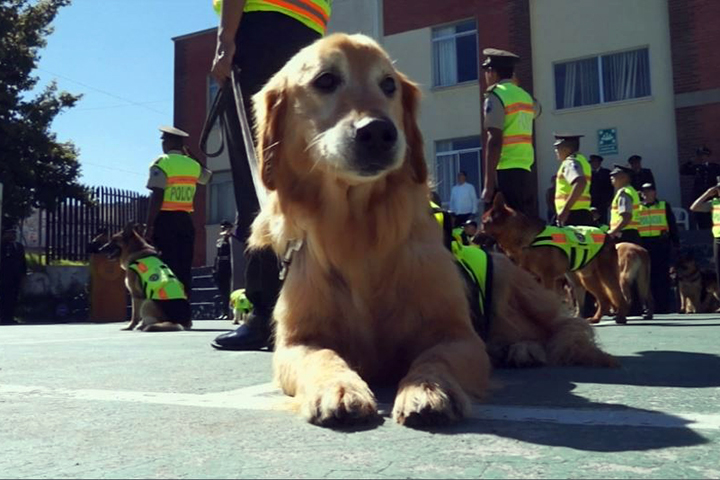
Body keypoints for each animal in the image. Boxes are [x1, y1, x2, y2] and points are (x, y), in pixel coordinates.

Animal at [246, 35, 612, 430]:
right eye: (325, 80)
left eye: (388, 84)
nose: (378, 131)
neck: (358, 231)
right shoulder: (297, 342)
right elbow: (324, 357)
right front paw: (338, 388)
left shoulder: (456, 335)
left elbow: (436, 358)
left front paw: (428, 389)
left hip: (513, 280)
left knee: (563, 325)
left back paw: (528, 348)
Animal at [484, 193, 632, 324]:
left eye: (483, 224)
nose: (475, 239)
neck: (528, 239)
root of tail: (607, 235)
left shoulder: (547, 278)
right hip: (586, 279)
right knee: (603, 299)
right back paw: (595, 318)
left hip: (606, 276)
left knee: (618, 295)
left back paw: (621, 317)